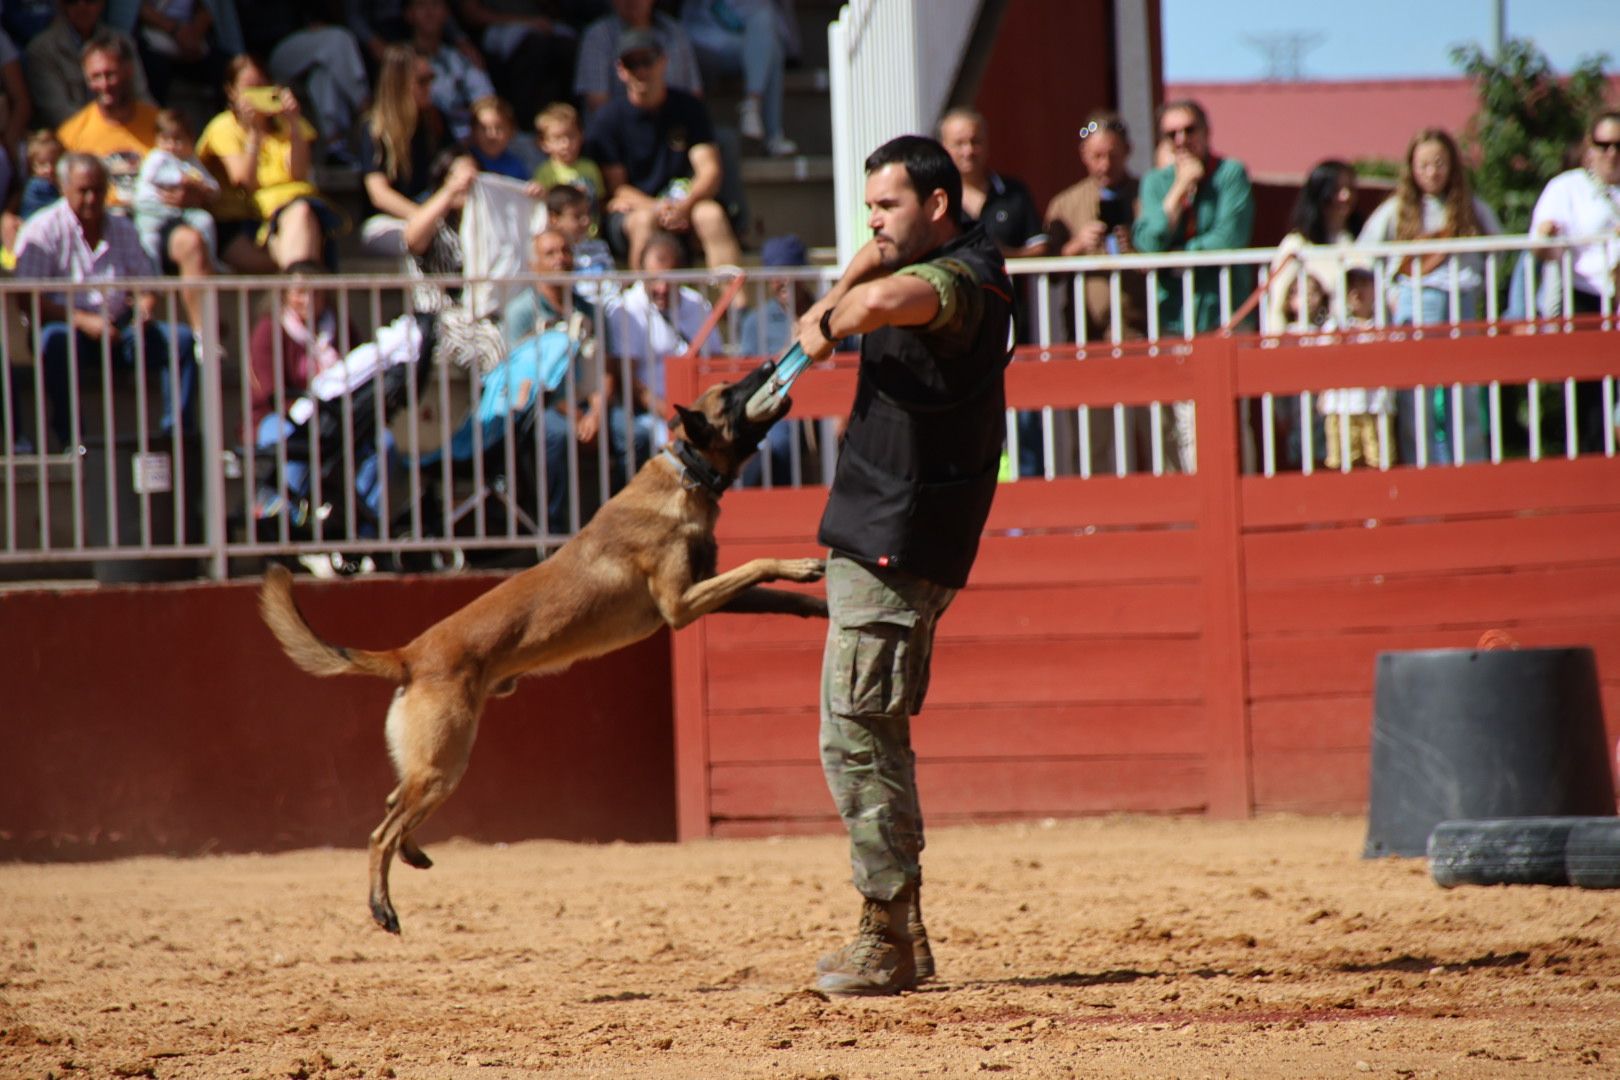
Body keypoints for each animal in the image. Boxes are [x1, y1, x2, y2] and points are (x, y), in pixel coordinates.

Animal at [264, 367, 829, 932]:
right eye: (731, 394)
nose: (770, 367)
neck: (685, 473)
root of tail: (411, 654)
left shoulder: (712, 590)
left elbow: (778, 594)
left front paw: (819, 602)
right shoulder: (681, 604)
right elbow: (756, 563)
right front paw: (800, 564)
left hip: (432, 765)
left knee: (391, 804)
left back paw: (413, 852)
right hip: (444, 765)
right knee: (381, 831)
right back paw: (382, 905)